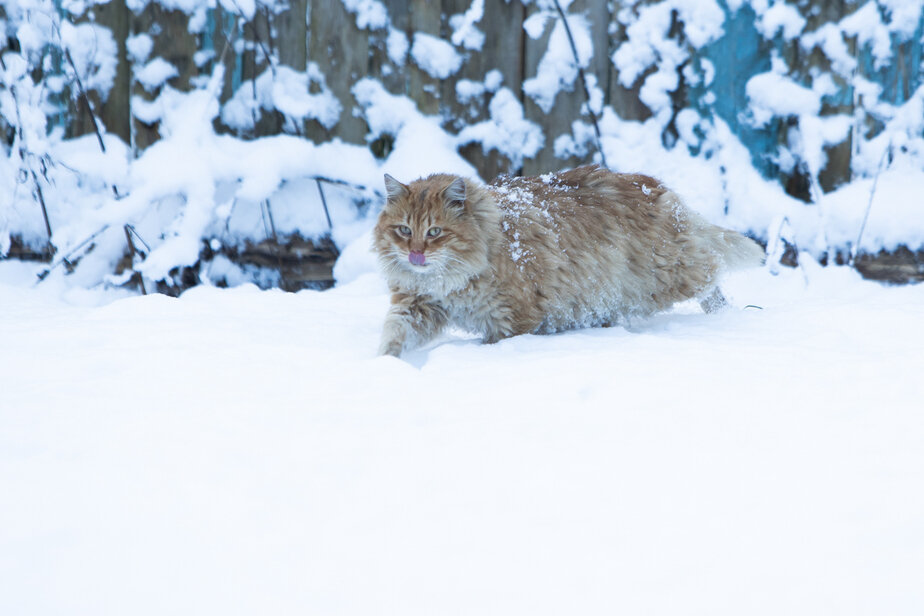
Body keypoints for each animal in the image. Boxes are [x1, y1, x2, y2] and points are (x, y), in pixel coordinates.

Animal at [370, 165, 764, 356]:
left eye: (435, 231)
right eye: (404, 229)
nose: (415, 254)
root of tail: (656, 188)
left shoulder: (511, 320)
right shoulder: (418, 306)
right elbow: (394, 336)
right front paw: (385, 367)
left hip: (670, 273)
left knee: (712, 270)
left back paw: (726, 315)